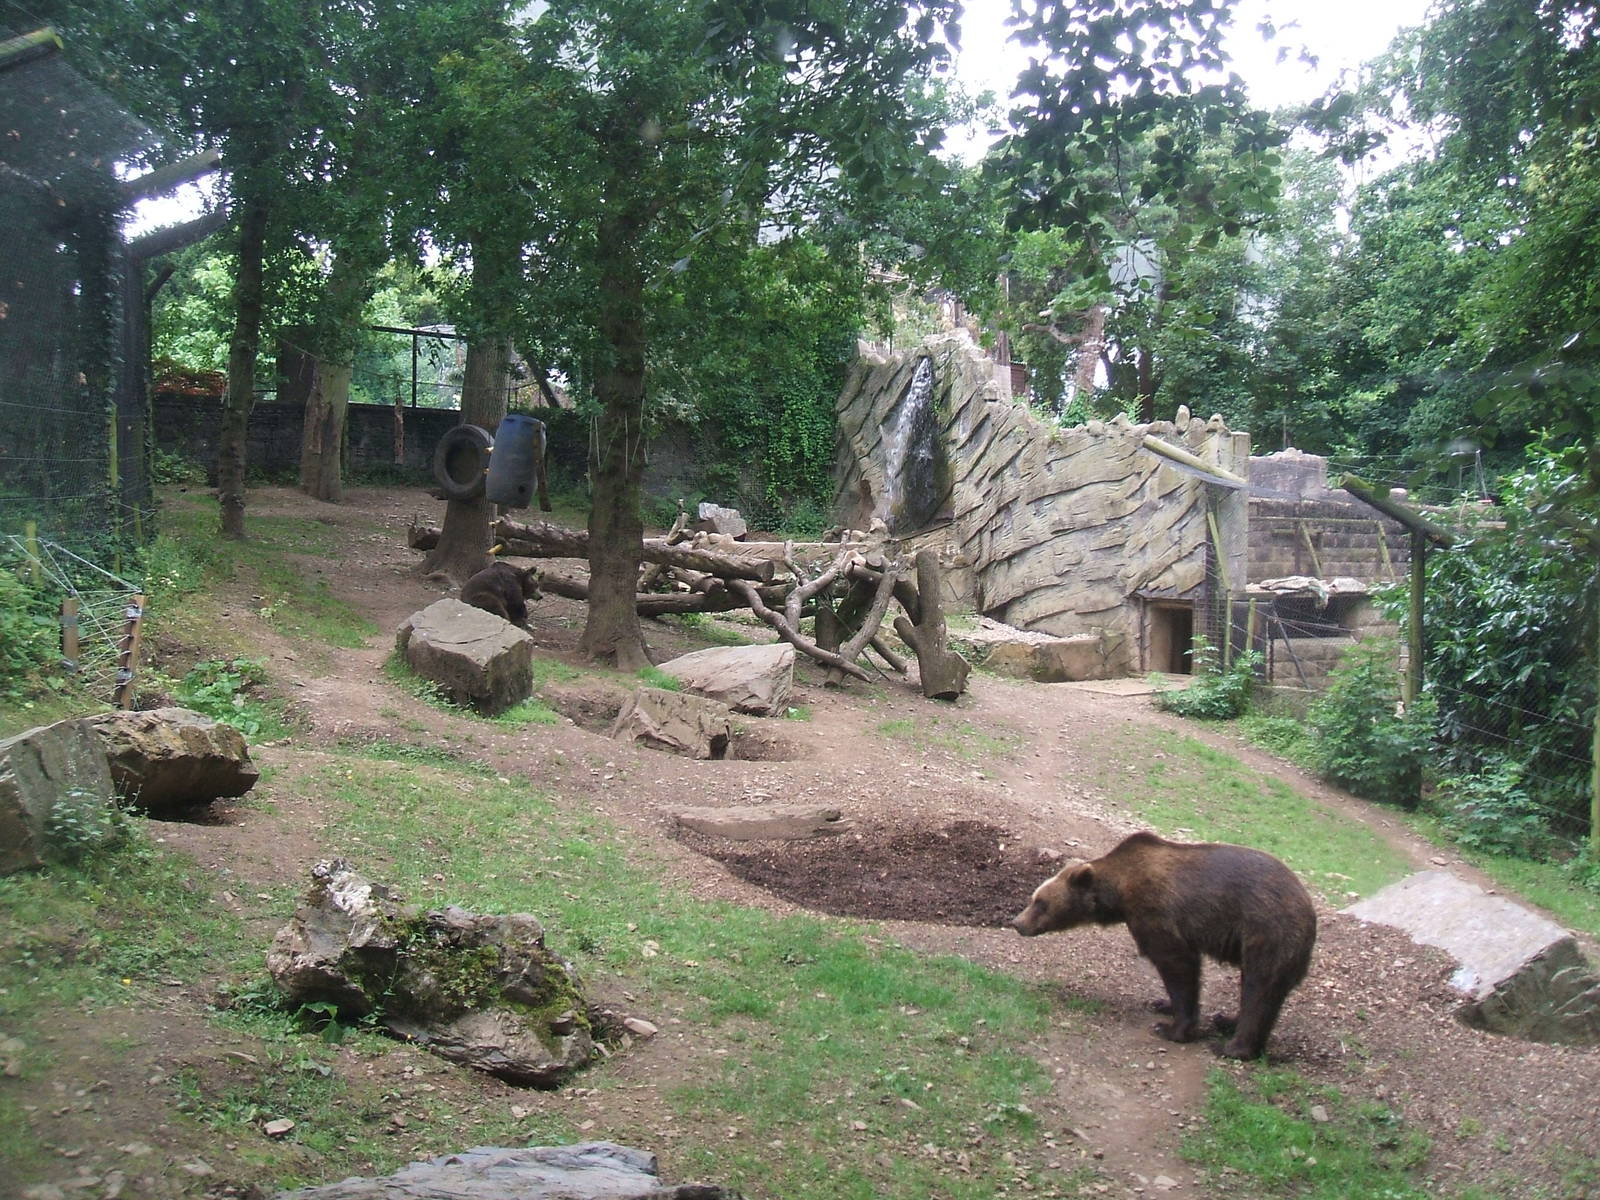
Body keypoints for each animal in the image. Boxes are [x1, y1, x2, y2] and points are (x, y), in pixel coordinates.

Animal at [1012, 831, 1316, 1060]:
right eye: (1034, 898)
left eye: (1041, 903)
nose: (1017, 923)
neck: (1119, 892)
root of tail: (1309, 909)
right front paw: (1162, 1003)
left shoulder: (1155, 912)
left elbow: (1177, 963)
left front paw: (1172, 1029)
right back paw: (1226, 1020)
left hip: (1267, 931)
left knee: (1259, 988)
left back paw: (1233, 1047)